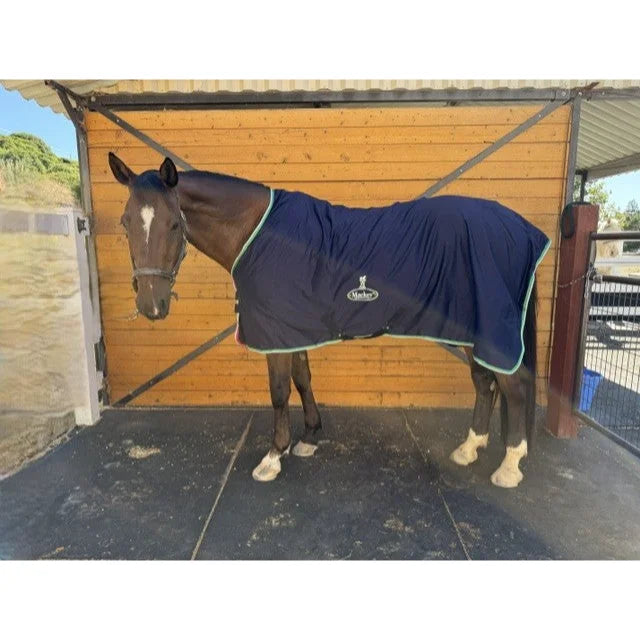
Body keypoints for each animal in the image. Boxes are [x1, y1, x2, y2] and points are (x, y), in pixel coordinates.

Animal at [108, 153, 549, 489]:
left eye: (174, 224)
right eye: (126, 222)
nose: (151, 305)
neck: (258, 233)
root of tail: (521, 229)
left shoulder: (275, 334)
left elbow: (279, 391)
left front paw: (273, 456)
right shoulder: (292, 330)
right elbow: (303, 379)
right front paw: (308, 438)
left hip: (492, 328)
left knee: (513, 387)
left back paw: (509, 466)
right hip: (472, 331)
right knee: (485, 382)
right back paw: (469, 448)